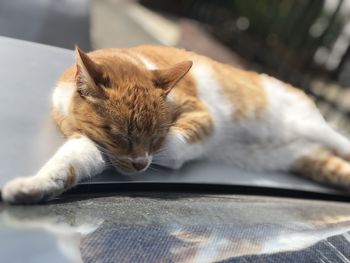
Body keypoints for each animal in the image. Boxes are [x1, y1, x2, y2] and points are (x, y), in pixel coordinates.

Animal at [2, 46, 350, 204]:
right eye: (120, 135)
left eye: (154, 136)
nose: (141, 165)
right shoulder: (86, 143)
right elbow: (68, 165)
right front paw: (31, 187)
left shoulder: (203, 117)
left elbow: (175, 148)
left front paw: (166, 158)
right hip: (311, 161)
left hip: (312, 126)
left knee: (339, 140)